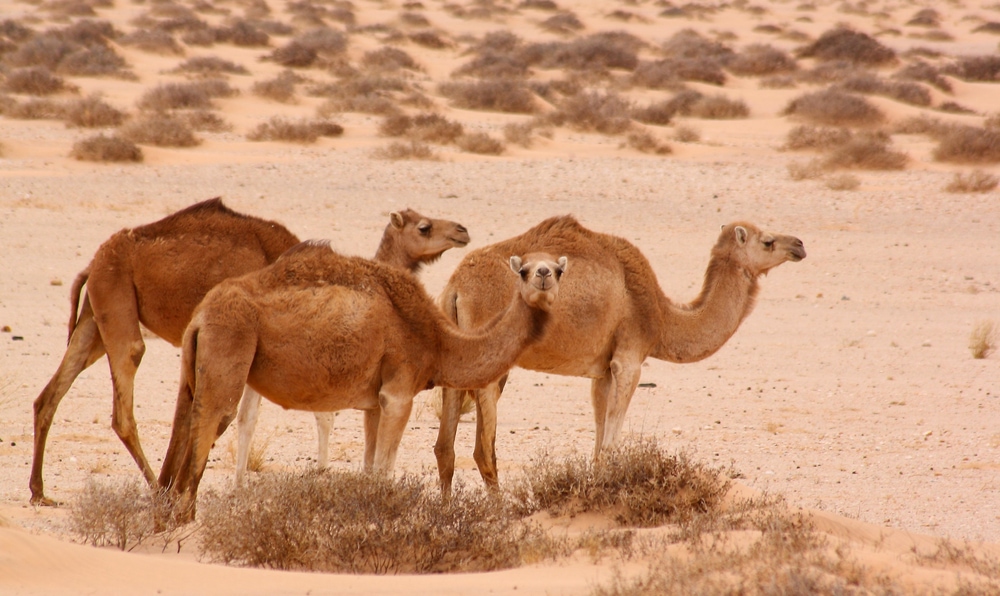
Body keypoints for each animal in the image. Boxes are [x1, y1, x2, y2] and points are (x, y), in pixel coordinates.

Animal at [29, 198, 469, 505]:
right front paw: (251, 482)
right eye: (425, 226)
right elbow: (264, 418)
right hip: (118, 302)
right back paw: (156, 486)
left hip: (95, 317)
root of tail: (92, 263)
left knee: (50, 393)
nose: (462, 231)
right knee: (125, 398)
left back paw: (39, 490)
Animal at [157, 242, 566, 522]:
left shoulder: (374, 402)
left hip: (196, 367)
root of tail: (201, 314)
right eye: (523, 270)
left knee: (181, 437)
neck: (437, 340)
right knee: (203, 441)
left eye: (558, 270)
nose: (544, 275)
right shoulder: (399, 393)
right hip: (229, 346)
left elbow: (370, 469)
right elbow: (385, 472)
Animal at [433, 217, 805, 495]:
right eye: (768, 241)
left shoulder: (602, 371)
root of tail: (455, 286)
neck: (662, 316)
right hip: (489, 357)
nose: (799, 245)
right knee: (483, 450)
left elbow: (599, 443)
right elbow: (612, 444)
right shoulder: (629, 359)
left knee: (444, 448)